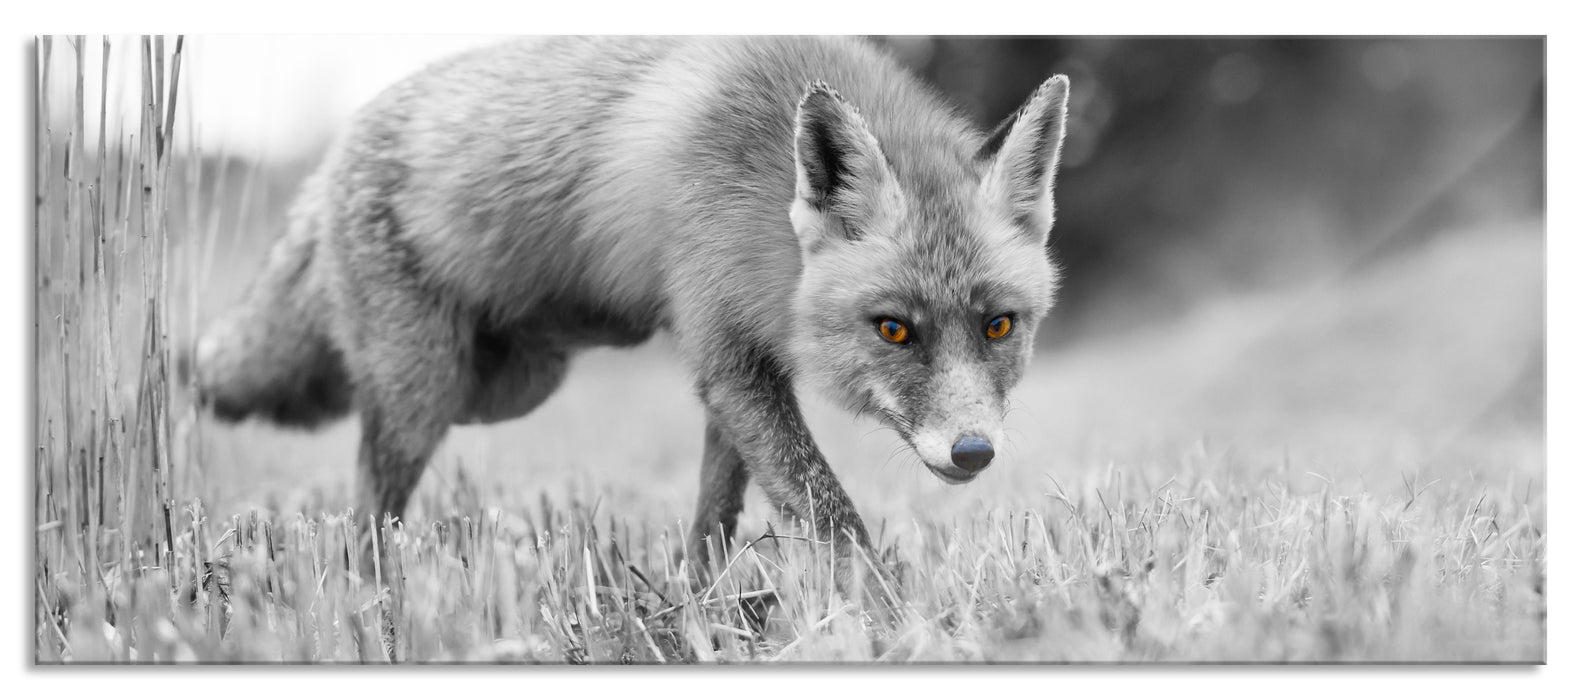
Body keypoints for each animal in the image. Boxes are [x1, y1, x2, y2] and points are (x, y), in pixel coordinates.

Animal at [195, 36, 1069, 581]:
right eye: (894, 329)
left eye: (999, 326)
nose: (972, 453)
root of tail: (332, 154)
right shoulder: (726, 353)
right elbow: (827, 511)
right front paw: (885, 615)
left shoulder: (737, 368)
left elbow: (720, 511)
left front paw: (700, 606)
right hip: (426, 395)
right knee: (367, 501)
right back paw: (368, 592)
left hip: (505, 384)